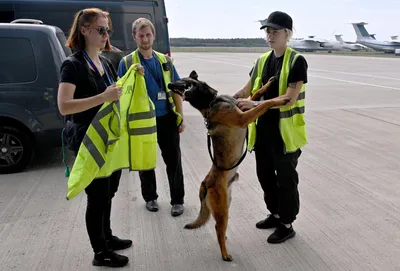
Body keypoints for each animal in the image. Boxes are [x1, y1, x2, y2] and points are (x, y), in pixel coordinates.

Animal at [167, 71, 290, 262]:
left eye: (180, 80)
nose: (169, 85)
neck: (211, 101)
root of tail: (205, 184)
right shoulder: (243, 118)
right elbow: (264, 104)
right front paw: (280, 100)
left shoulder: (243, 108)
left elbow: (255, 95)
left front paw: (268, 84)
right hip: (223, 210)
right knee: (218, 228)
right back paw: (225, 254)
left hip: (226, 203)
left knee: (219, 227)